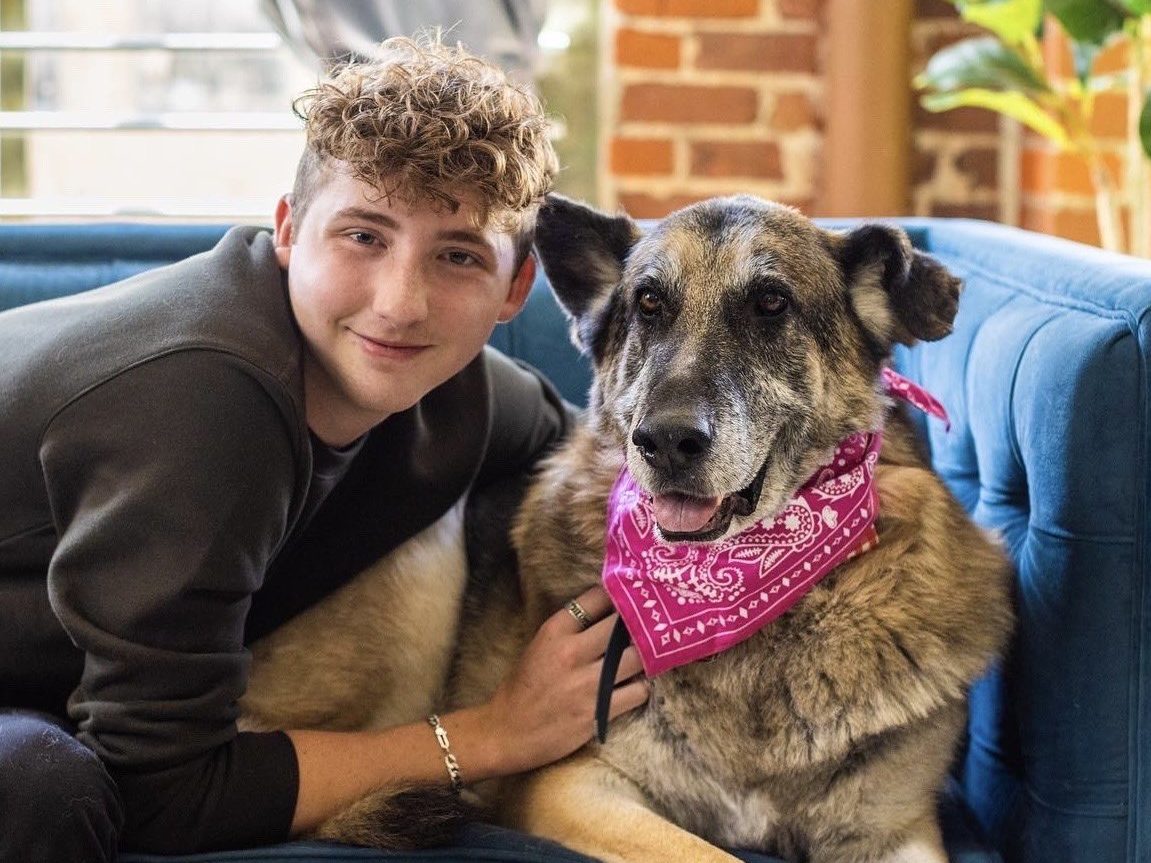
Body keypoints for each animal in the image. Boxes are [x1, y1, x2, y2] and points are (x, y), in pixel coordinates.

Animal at [238, 195, 1012, 863]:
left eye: (770, 304)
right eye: (648, 304)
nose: (664, 441)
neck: (748, 591)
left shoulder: (895, 834)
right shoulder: (577, 785)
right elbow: (709, 855)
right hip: (427, 566)